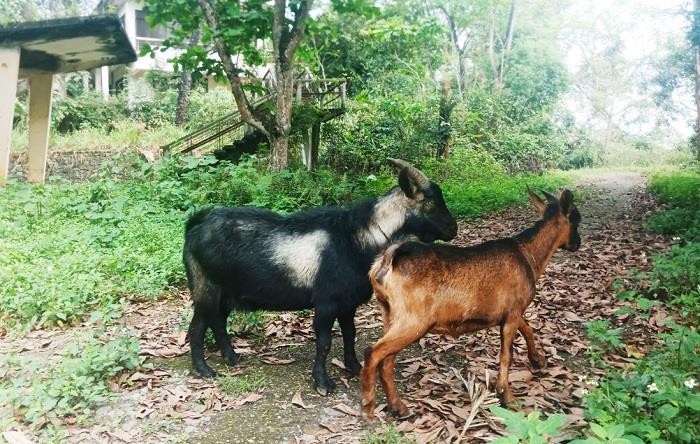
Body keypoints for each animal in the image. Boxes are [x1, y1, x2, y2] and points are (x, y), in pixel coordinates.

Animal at [183, 158, 456, 394]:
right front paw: (323, 382)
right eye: (431, 202)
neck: (357, 238)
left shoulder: (347, 302)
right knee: (197, 328)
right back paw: (204, 370)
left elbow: (350, 333)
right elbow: (324, 342)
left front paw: (354, 366)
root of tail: (195, 227)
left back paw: (231, 357)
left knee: (218, 322)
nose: (453, 229)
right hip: (205, 287)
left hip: (225, 293)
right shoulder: (327, 302)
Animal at [358, 189, 584, 418]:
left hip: (389, 313)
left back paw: (398, 406)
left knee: (386, 361)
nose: (577, 243)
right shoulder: (512, 313)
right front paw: (507, 395)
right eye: (576, 219)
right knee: (373, 352)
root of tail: (388, 260)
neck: (528, 254)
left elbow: (528, 328)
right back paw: (368, 405)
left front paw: (537, 360)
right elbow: (507, 355)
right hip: (413, 320)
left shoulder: (510, 311)